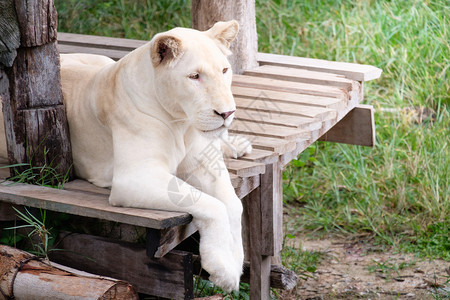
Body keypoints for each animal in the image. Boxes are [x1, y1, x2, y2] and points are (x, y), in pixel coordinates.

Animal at [57, 20, 250, 290]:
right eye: (194, 76)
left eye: (224, 70)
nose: (227, 113)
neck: (181, 123)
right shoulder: (135, 178)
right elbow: (213, 205)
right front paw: (223, 269)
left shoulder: (201, 164)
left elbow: (233, 203)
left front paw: (233, 266)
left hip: (100, 60)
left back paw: (237, 145)